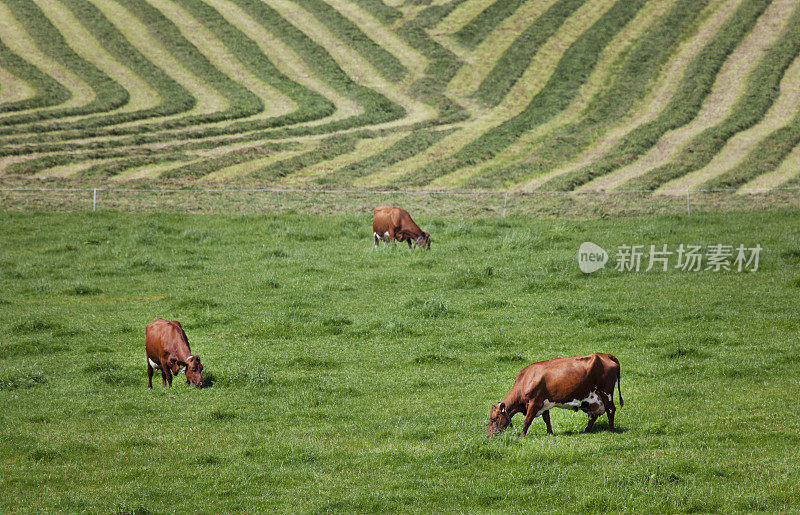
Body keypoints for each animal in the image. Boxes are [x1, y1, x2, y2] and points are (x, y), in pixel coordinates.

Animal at [484, 352, 620, 438]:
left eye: (493, 419)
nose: (489, 436)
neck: (526, 379)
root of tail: (606, 355)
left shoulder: (534, 402)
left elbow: (527, 420)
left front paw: (522, 436)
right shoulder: (544, 403)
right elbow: (547, 420)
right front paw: (550, 433)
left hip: (606, 392)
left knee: (610, 409)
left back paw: (611, 430)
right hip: (592, 399)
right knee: (593, 415)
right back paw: (585, 431)